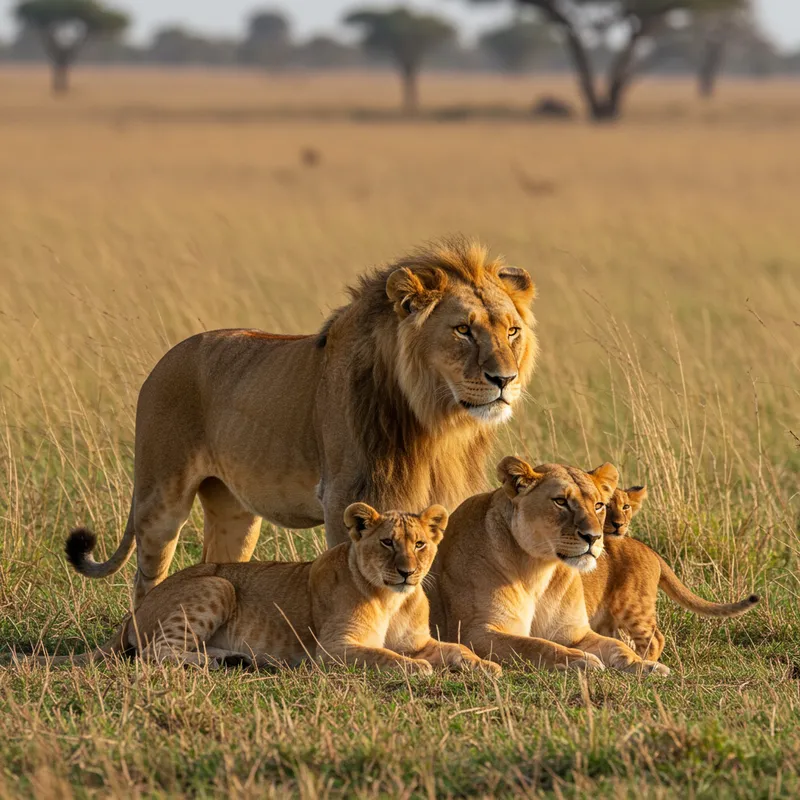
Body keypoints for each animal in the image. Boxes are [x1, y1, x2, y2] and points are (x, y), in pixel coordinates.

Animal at [43, 503, 500, 675]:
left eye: (420, 544)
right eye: (387, 542)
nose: (407, 572)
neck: (394, 599)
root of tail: (133, 612)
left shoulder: (419, 640)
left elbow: (455, 649)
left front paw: (487, 665)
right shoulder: (334, 649)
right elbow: (384, 655)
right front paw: (416, 669)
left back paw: (235, 659)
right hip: (218, 583)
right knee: (156, 652)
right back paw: (224, 662)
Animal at [67, 237, 538, 605]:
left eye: (512, 331)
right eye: (463, 330)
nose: (505, 380)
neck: (437, 423)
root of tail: (163, 360)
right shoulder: (346, 496)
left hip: (234, 511)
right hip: (160, 498)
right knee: (146, 578)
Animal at [427, 457, 670, 675]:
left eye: (599, 505)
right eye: (560, 501)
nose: (594, 537)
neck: (538, 570)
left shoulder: (574, 633)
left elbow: (617, 646)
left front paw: (645, 664)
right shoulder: (475, 632)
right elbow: (535, 645)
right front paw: (579, 659)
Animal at [582, 487, 759, 660]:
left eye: (625, 506)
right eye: (606, 506)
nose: (619, 524)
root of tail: (649, 550)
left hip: (631, 606)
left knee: (655, 639)